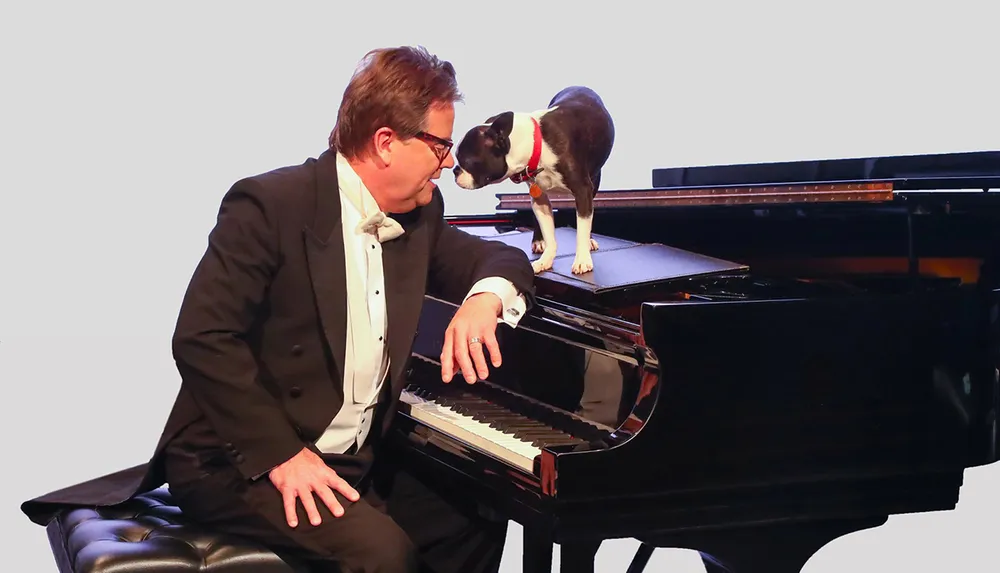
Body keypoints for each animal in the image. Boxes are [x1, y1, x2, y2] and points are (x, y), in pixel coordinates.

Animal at [452, 85, 608, 274]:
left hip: (594, 182)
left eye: (466, 160)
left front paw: (582, 259)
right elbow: (549, 235)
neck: (536, 146)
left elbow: (583, 223)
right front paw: (545, 259)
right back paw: (538, 242)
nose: (455, 171)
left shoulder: (583, 190)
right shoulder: (540, 199)